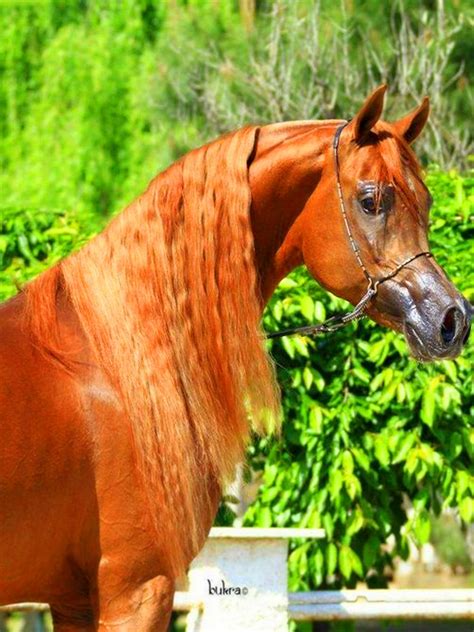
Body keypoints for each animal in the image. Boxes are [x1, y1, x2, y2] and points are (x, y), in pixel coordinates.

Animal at [0, 85, 470, 628]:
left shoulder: (76, 599)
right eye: (370, 200)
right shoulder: (135, 592)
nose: (453, 319)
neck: (118, 363)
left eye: (426, 201)